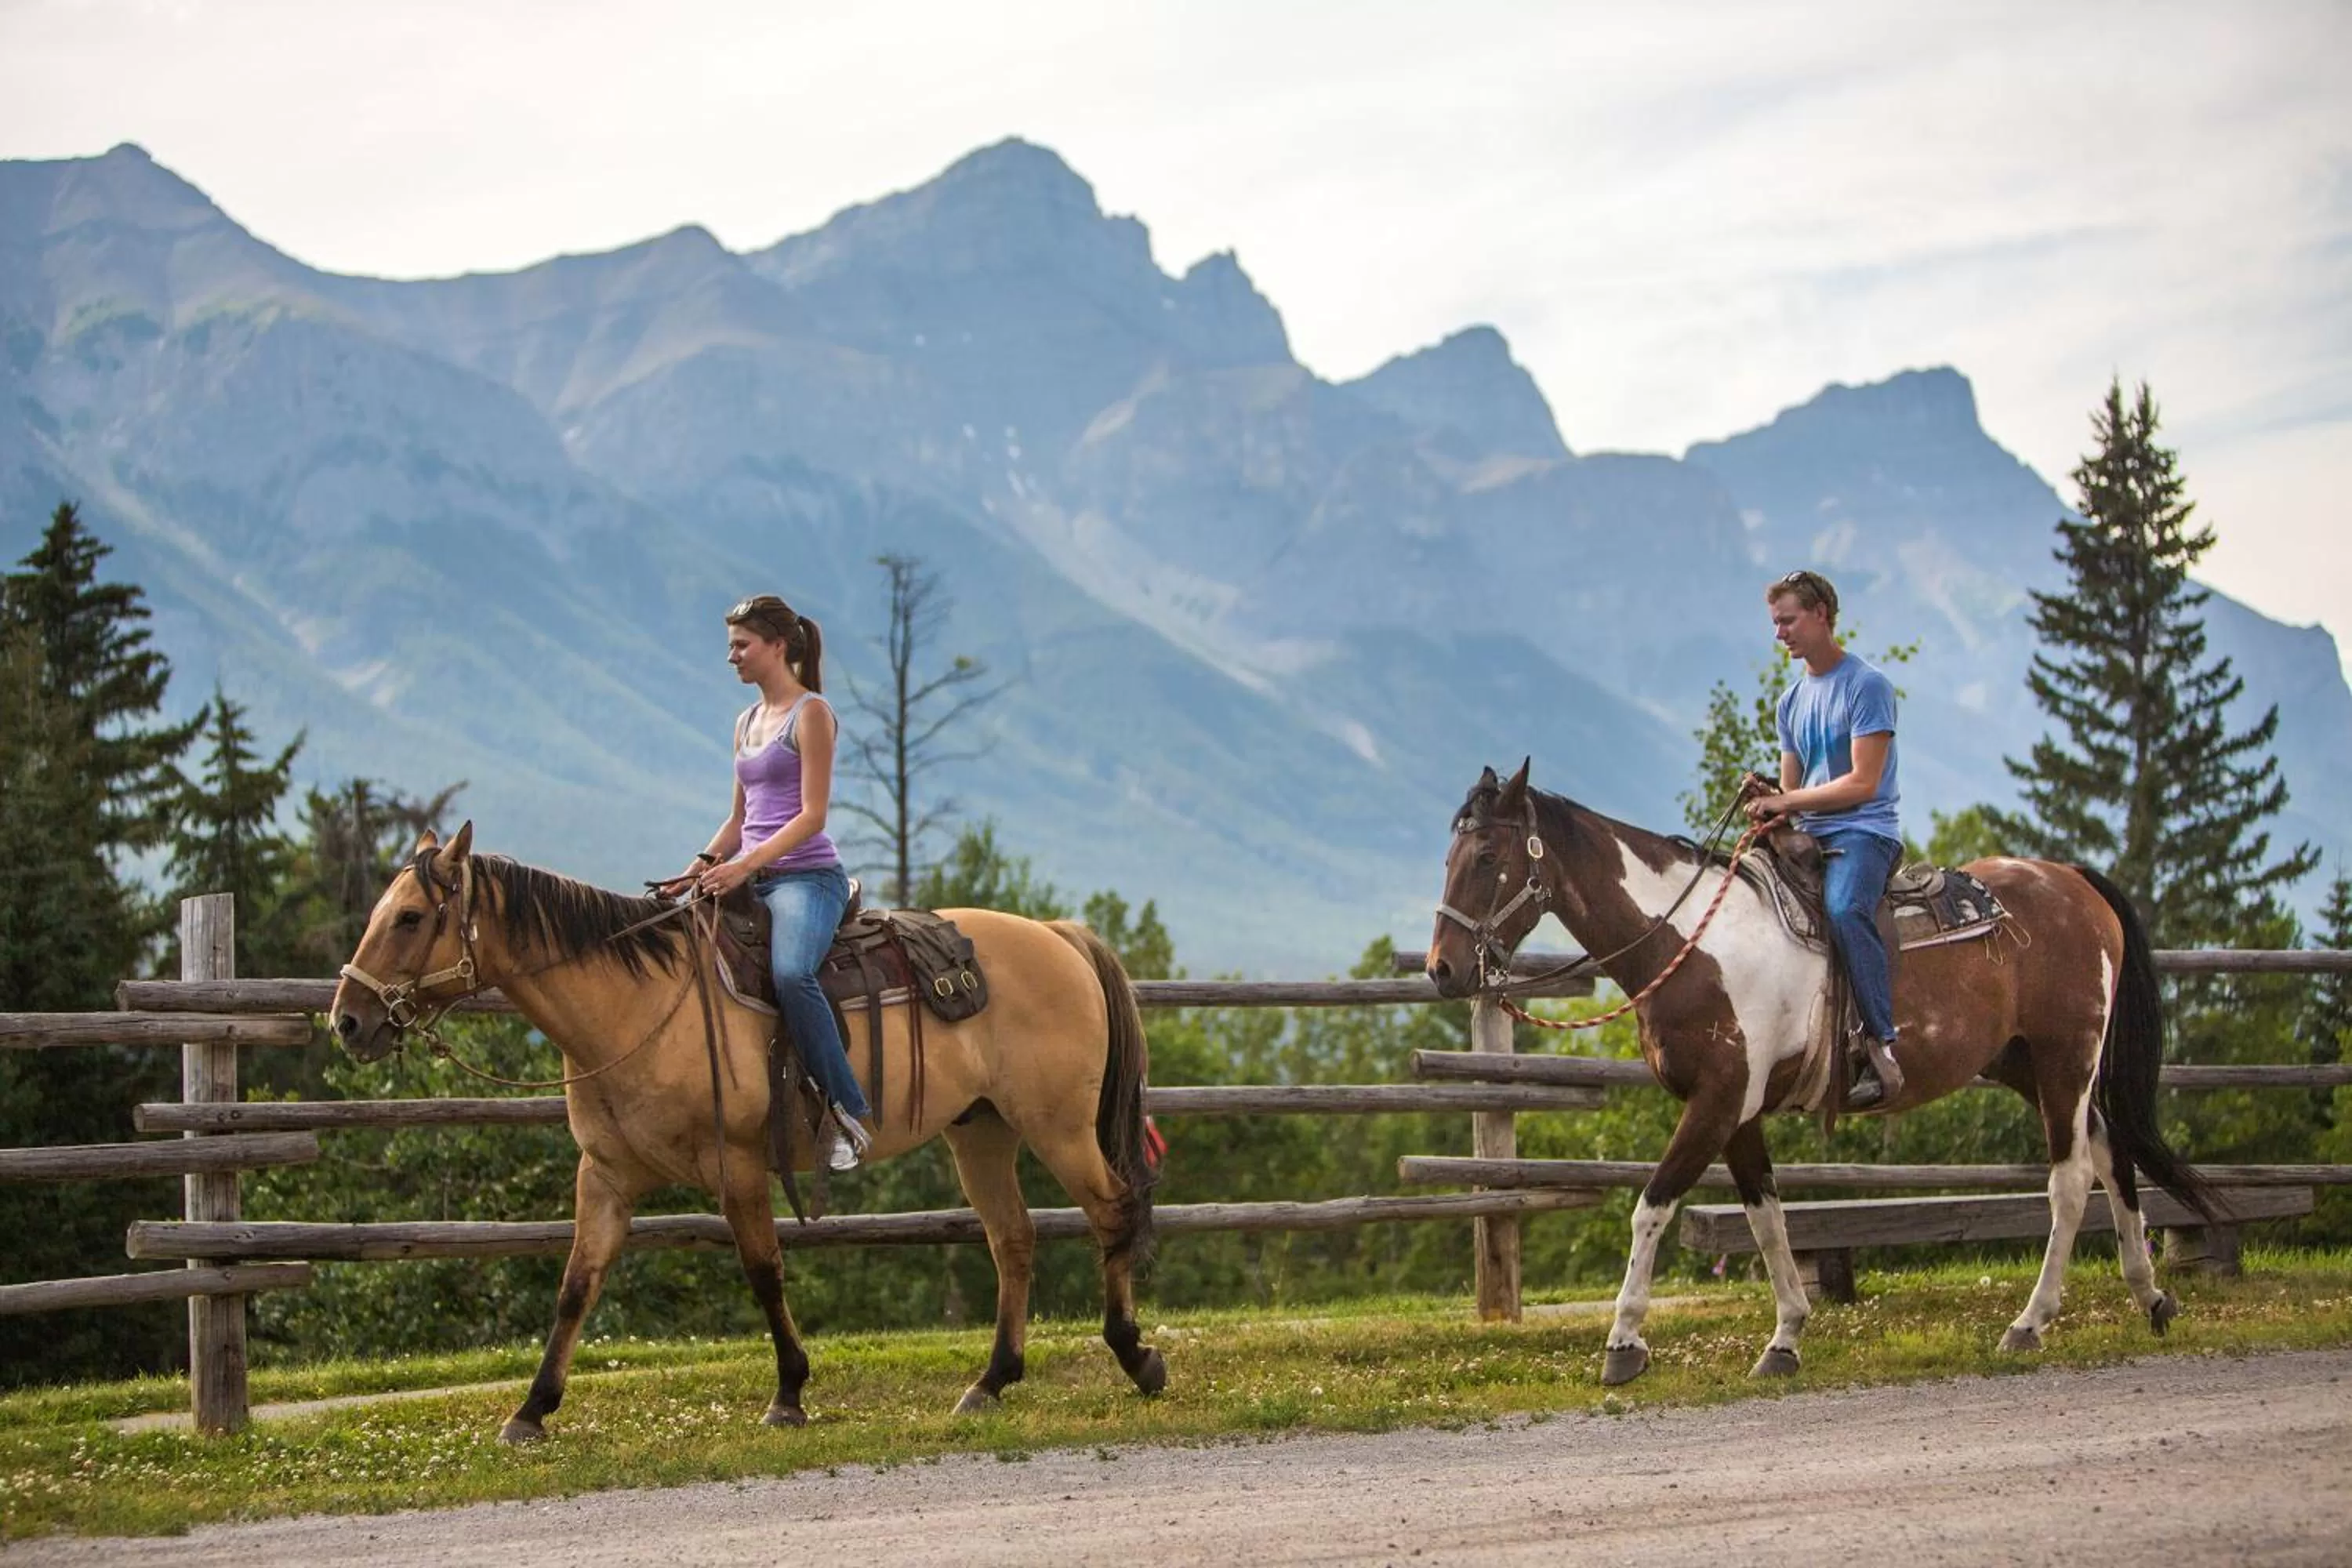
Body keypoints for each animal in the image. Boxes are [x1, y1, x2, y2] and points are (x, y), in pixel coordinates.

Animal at [328, 823, 1165, 1440]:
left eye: (409, 918)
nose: (348, 1021)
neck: (636, 1004)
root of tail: (1058, 936)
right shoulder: (604, 1175)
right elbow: (576, 1286)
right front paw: (531, 1410)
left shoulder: (734, 1166)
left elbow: (764, 1272)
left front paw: (789, 1394)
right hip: (981, 1133)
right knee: (1013, 1240)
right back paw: (990, 1383)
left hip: (1058, 1126)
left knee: (1111, 1211)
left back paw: (1135, 1357)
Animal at [1425, 762, 2210, 1385]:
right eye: (1450, 852)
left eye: (1488, 853)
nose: (1443, 970)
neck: (1692, 943)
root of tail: (2073, 881)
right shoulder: (1738, 1112)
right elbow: (1767, 1219)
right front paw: (1785, 1339)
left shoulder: (1715, 1101)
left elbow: (1652, 1206)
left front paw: (1624, 1344)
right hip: (2021, 1060)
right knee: (2111, 1150)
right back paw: (2151, 1299)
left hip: (2065, 1055)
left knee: (2070, 1178)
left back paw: (2030, 1323)